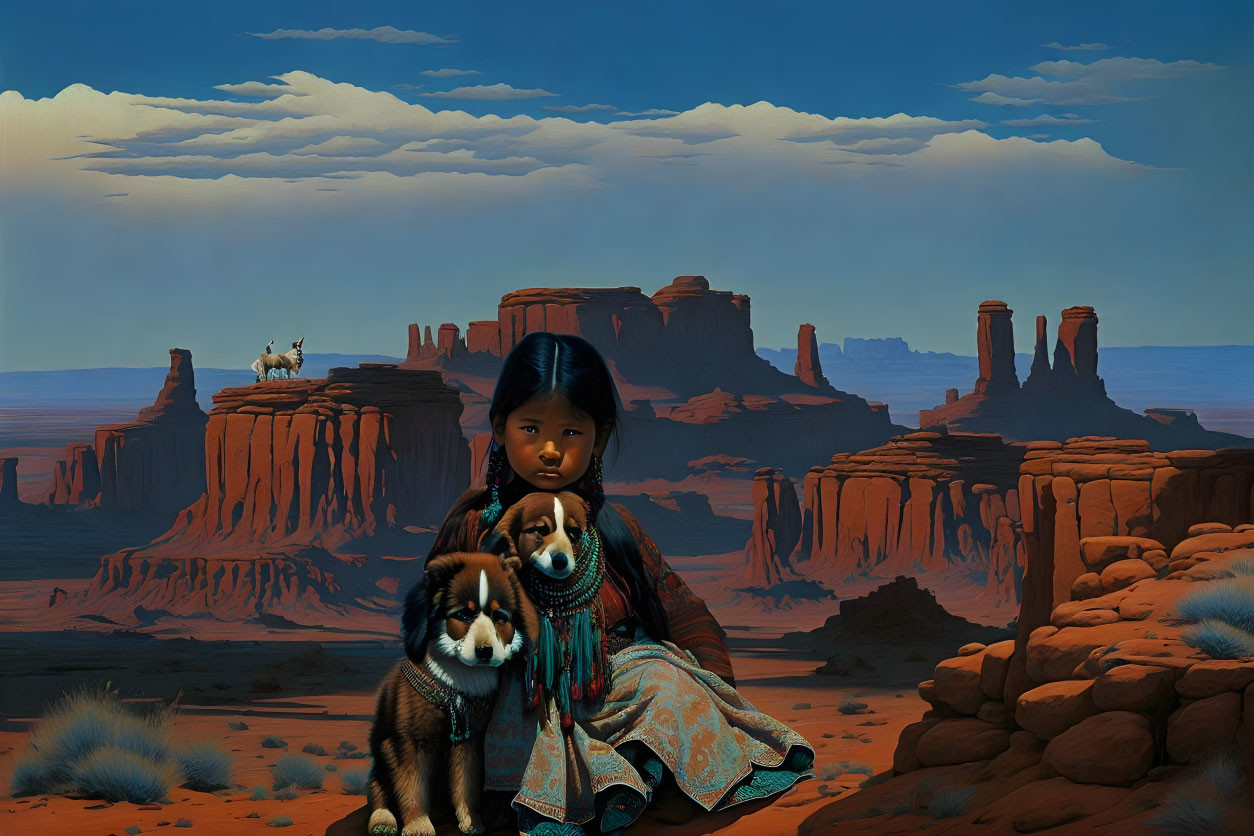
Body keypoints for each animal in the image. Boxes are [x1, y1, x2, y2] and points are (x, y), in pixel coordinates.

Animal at [366, 548, 536, 836]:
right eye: (463, 616)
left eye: (500, 617)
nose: (485, 651)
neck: (457, 678)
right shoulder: (409, 741)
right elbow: (411, 784)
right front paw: (418, 824)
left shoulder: (469, 741)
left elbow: (465, 783)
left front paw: (472, 821)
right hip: (383, 748)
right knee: (379, 787)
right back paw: (382, 820)